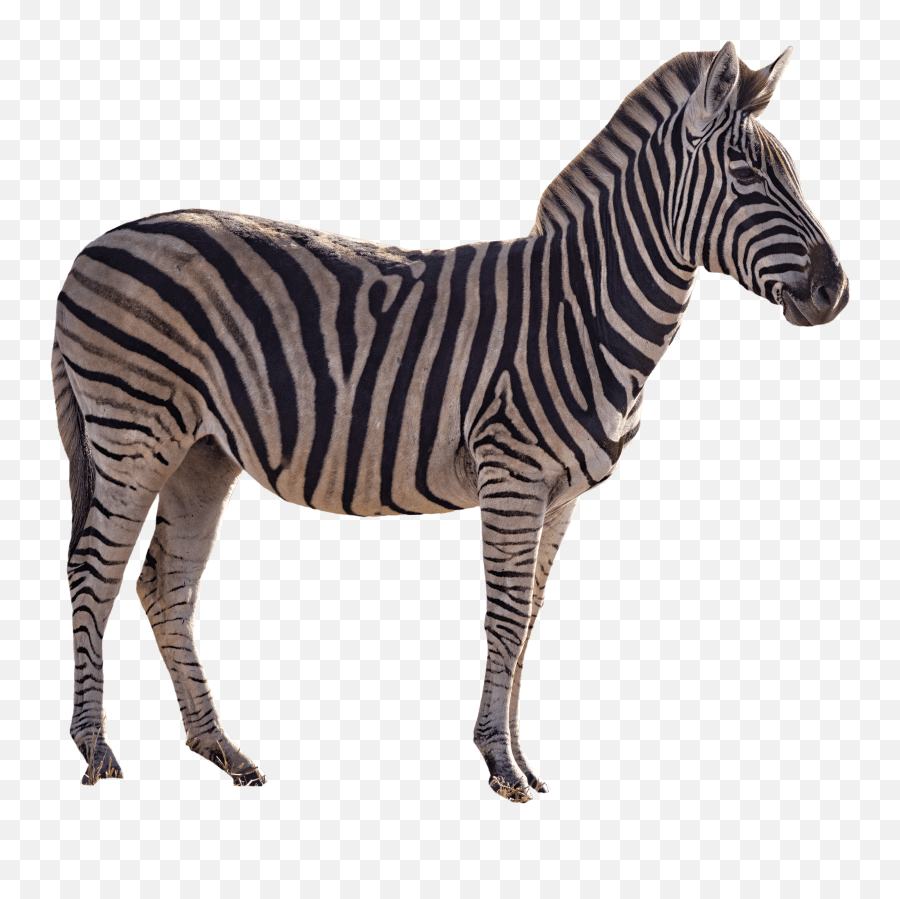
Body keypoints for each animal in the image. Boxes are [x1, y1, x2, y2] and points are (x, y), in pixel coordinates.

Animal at [53, 42, 848, 802]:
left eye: (793, 175)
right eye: (747, 176)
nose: (835, 290)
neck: (583, 308)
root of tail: (90, 248)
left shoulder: (561, 496)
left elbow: (530, 619)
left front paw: (524, 759)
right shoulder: (513, 474)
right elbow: (505, 615)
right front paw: (501, 765)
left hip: (200, 452)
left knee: (166, 584)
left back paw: (222, 750)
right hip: (132, 432)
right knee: (94, 570)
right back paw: (96, 749)